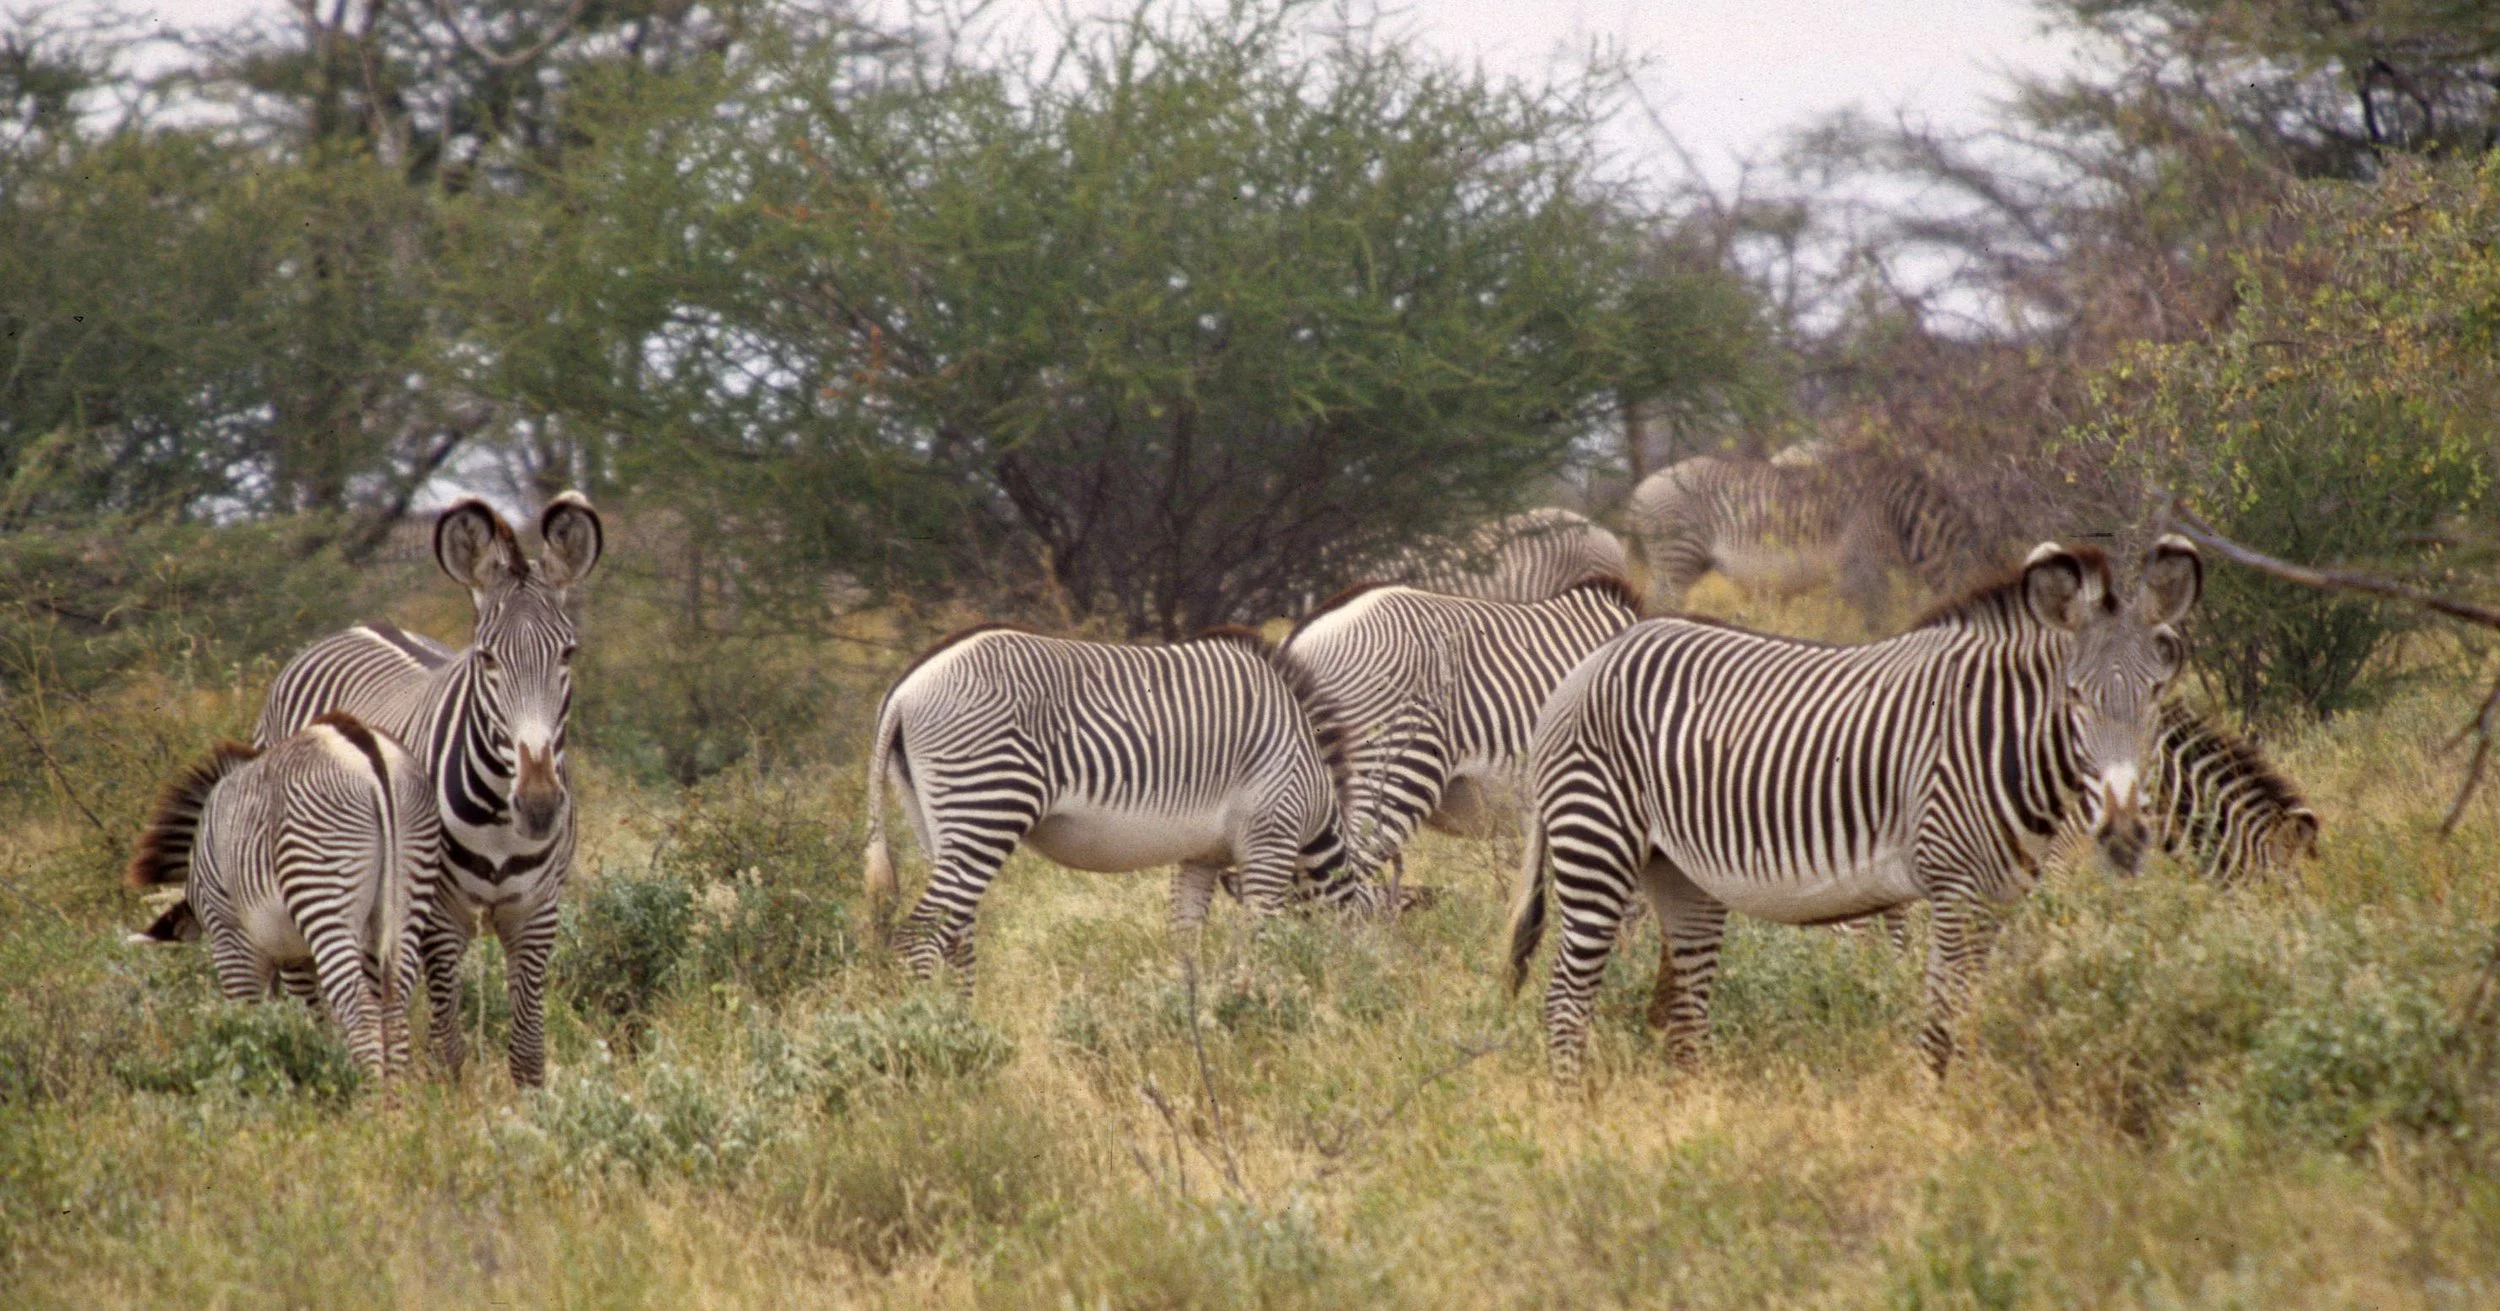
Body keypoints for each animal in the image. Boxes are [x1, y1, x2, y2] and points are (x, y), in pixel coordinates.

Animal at [125, 713, 441, 1081]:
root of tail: (363, 743)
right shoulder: (301, 955)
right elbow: (323, 1019)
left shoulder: (235, 941)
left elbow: (249, 1020)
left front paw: (254, 1077)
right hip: (408, 893)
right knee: (393, 1009)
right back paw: (394, 1094)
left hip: (323, 895)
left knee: (361, 1010)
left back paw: (369, 1093)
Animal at [254, 493, 602, 1087]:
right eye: (486, 658)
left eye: (568, 654)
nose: (537, 805)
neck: (500, 824)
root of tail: (356, 628)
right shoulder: (442, 918)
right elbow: (450, 1047)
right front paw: (451, 1107)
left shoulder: (537, 913)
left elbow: (528, 1050)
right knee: (318, 994)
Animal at [860, 624, 1402, 987]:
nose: (1371, 999)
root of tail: (906, 688)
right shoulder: (1271, 836)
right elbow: (1265, 939)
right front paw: (1263, 1008)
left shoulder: (1202, 856)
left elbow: (1186, 941)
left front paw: (1194, 1015)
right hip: (989, 804)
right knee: (921, 936)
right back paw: (934, 1035)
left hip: (934, 821)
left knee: (957, 935)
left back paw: (964, 1025)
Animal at [1507, 537, 2204, 1082]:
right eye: (2076, 698)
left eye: (2153, 694)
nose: (2123, 833)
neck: (1995, 735)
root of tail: (1591, 662)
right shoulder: (1953, 887)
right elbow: (1944, 1020)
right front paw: (1941, 1117)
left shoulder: (1997, 900)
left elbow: (1964, 1014)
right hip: (1597, 844)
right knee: (1566, 999)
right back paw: (1575, 1111)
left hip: (1678, 874)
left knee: (1684, 1013)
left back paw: (1693, 1114)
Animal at [1628, 451, 1986, 627]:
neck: (1900, 516)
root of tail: (1642, 487)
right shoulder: (1861, 567)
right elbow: (1872, 622)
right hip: (1678, 557)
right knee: (1661, 604)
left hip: (1685, 562)